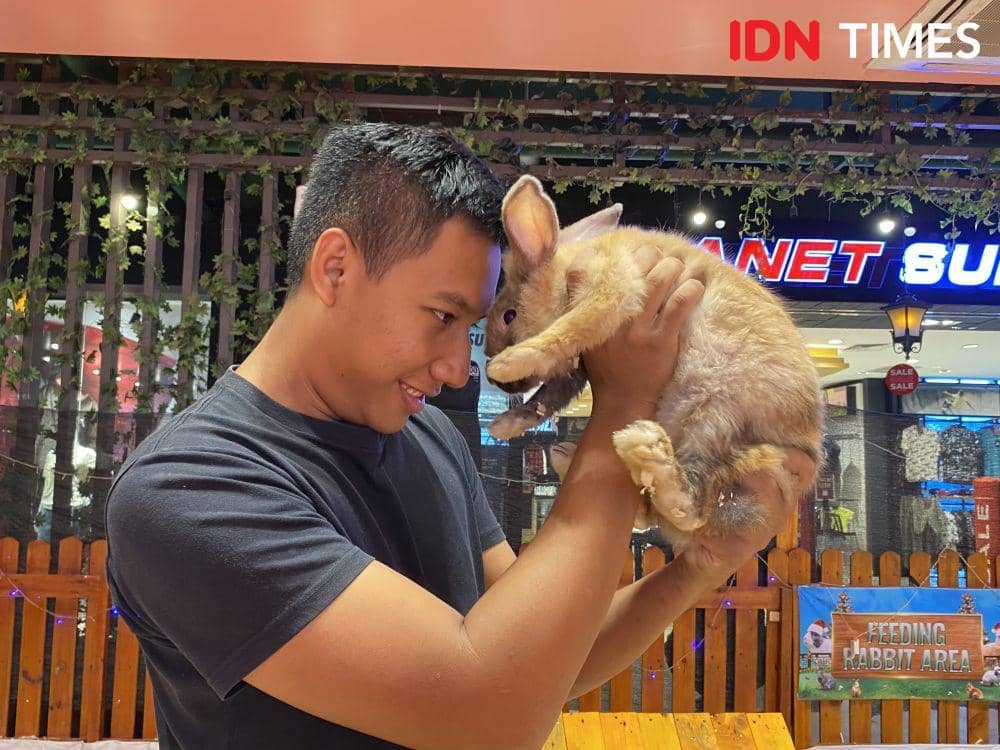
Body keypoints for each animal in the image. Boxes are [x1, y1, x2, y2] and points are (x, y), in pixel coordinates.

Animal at [484, 175, 823, 546]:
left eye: (509, 316)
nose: (494, 379)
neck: (565, 272)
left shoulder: (610, 287)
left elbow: (568, 329)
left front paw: (510, 361)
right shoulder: (577, 368)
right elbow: (548, 398)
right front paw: (504, 424)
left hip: (713, 415)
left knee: (689, 508)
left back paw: (647, 450)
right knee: (655, 514)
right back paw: (571, 457)